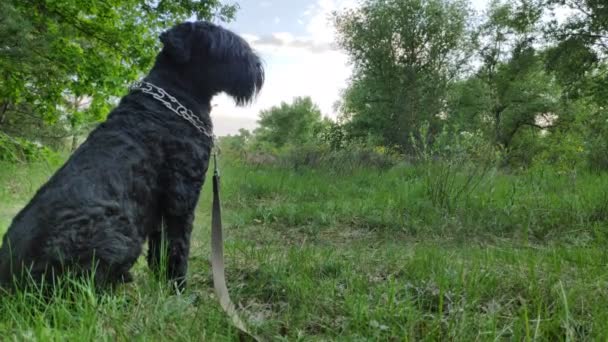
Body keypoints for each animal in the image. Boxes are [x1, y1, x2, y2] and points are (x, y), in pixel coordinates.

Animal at [0, 20, 264, 288]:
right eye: (228, 45)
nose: (258, 68)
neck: (175, 95)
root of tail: (9, 279)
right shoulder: (181, 197)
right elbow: (177, 246)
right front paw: (177, 286)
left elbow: (160, 249)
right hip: (118, 233)